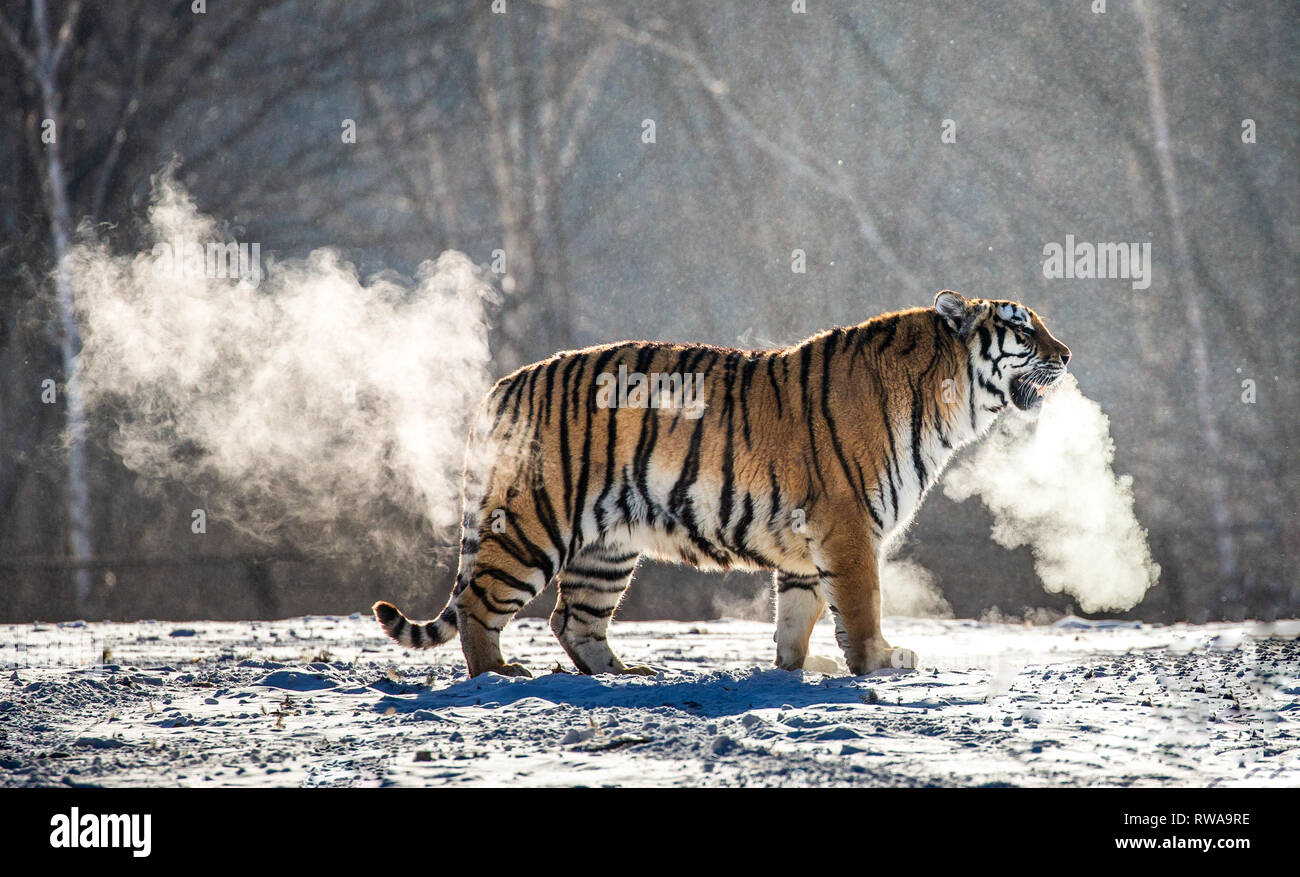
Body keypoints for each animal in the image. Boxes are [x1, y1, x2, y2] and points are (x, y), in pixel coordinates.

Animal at [371, 288, 1071, 680]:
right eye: (1022, 327)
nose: (1066, 355)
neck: (947, 401)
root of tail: (502, 385)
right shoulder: (848, 528)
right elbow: (861, 604)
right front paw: (879, 661)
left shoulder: (809, 544)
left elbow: (798, 614)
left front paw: (794, 669)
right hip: (533, 524)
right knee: (480, 605)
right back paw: (500, 675)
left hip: (607, 547)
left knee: (573, 618)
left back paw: (623, 674)